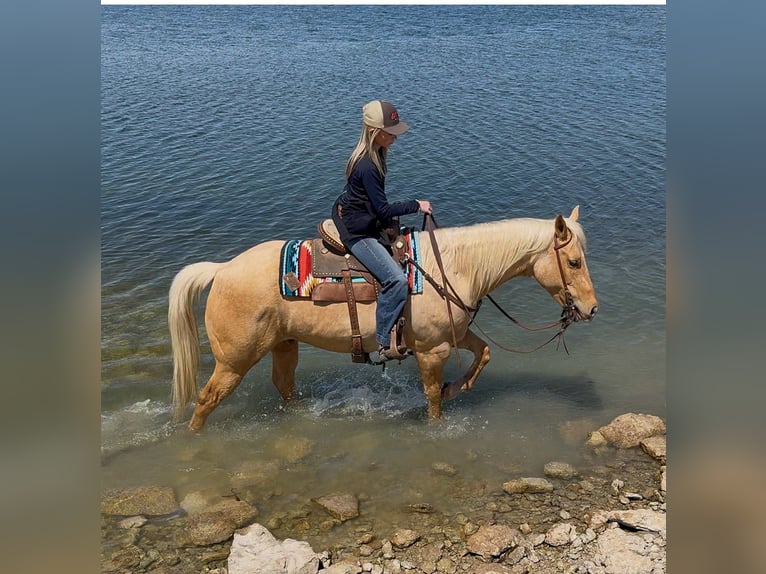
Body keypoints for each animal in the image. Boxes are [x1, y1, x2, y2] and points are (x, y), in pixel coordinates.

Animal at [169, 206, 598, 431]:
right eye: (574, 262)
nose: (592, 308)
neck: (452, 268)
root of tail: (222, 270)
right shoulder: (432, 350)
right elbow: (431, 394)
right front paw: (438, 419)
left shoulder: (452, 335)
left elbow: (485, 353)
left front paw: (457, 387)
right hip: (235, 360)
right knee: (207, 399)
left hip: (283, 344)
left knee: (284, 385)